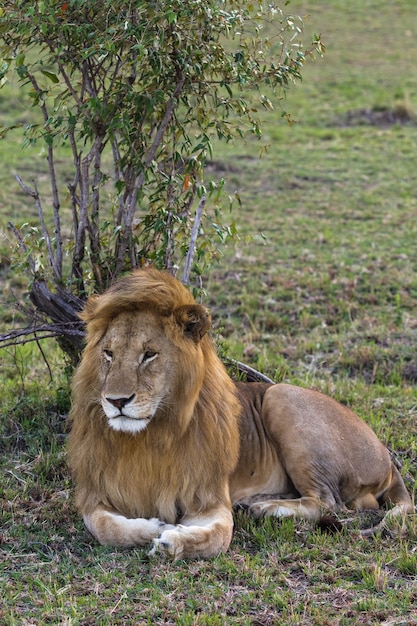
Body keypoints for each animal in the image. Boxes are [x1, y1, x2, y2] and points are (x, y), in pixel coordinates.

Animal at [66, 266, 412, 556]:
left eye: (149, 355)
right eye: (108, 354)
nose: (116, 401)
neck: (149, 436)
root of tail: (386, 456)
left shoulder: (208, 497)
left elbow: (218, 536)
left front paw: (171, 541)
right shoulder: (96, 492)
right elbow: (105, 527)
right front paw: (153, 528)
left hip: (280, 395)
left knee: (331, 503)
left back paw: (268, 508)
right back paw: (256, 502)